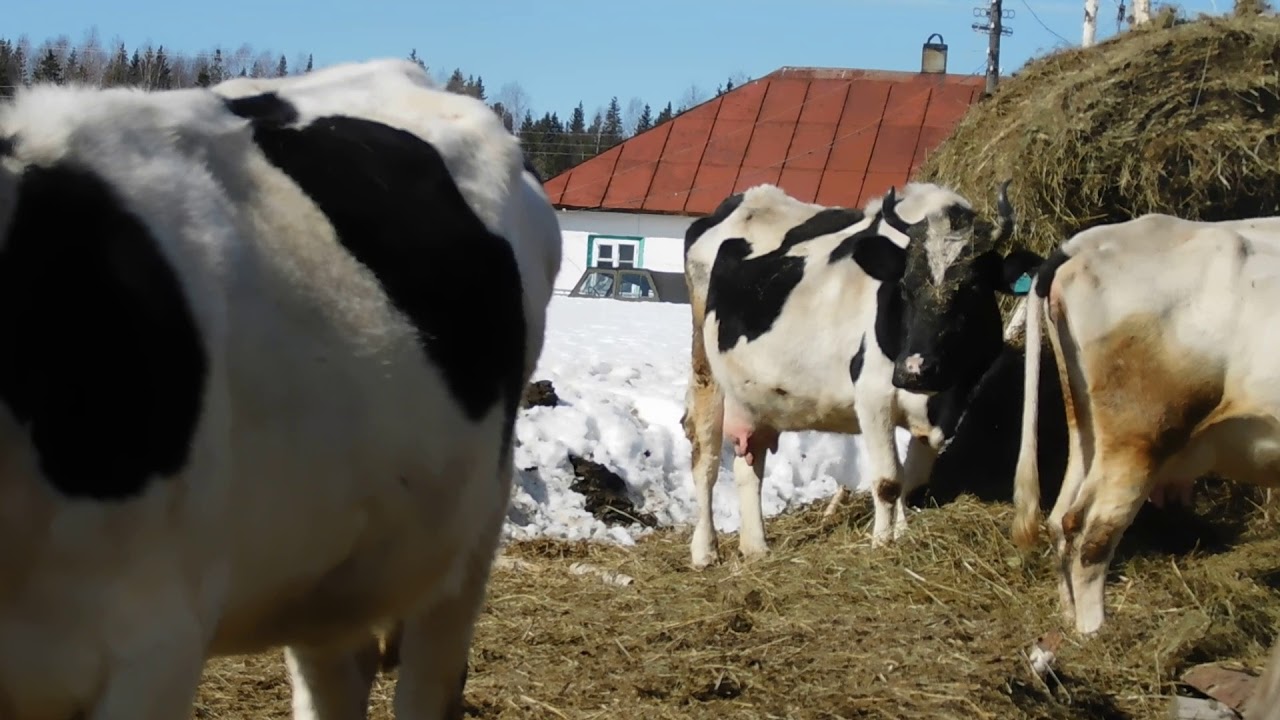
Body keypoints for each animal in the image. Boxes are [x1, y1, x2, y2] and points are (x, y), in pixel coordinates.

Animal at [680, 179, 1039, 566]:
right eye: (905, 287)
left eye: (971, 289)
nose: (915, 369)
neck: (941, 400)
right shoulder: (873, 396)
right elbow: (888, 481)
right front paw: (882, 543)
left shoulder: (942, 414)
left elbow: (911, 481)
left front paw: (903, 535)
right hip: (705, 369)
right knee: (705, 459)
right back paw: (704, 550)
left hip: (753, 394)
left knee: (750, 463)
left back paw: (756, 547)